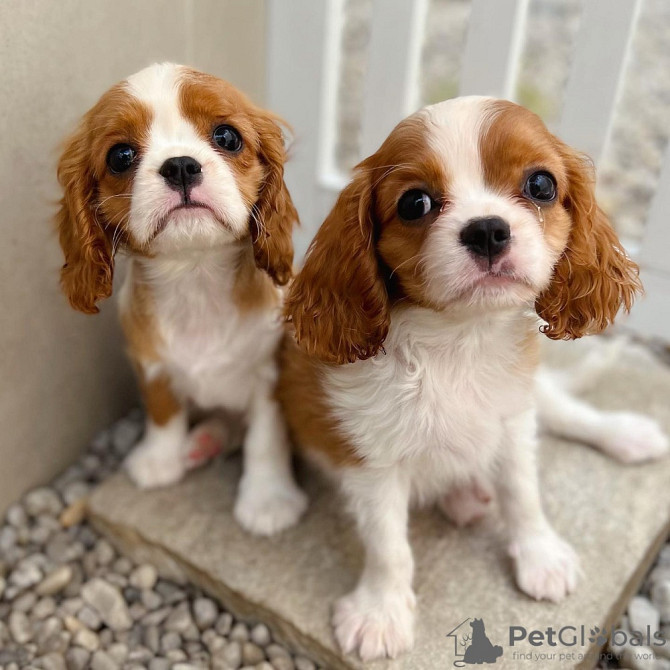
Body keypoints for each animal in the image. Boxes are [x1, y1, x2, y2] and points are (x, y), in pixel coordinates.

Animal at [57, 63, 308, 536]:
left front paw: (267, 499)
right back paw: (202, 441)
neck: (195, 276)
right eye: (120, 156)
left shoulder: (272, 372)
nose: (180, 166)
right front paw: (160, 460)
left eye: (227, 137)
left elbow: (265, 437)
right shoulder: (151, 363)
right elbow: (162, 410)